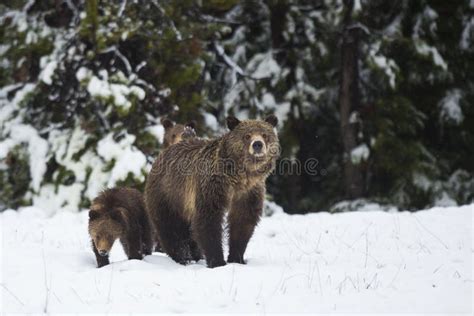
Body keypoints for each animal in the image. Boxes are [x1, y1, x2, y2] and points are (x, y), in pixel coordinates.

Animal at [144, 115, 278, 268]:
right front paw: (218, 261)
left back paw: (195, 255)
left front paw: (237, 258)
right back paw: (182, 257)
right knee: (170, 227)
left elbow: (242, 222)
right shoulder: (212, 185)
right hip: (168, 194)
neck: (239, 178)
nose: (257, 144)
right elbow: (209, 220)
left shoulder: (248, 193)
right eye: (247, 135)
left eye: (265, 135)